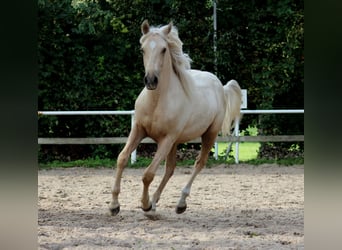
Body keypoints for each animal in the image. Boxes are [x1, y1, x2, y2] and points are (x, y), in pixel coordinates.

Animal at [109, 20, 240, 215]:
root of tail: (220, 86)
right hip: (177, 142)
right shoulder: (138, 130)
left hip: (209, 134)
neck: (156, 102)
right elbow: (122, 159)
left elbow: (148, 174)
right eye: (142, 49)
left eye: (164, 49)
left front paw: (145, 204)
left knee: (199, 163)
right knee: (170, 169)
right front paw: (114, 205)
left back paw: (180, 203)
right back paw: (155, 201)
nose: (151, 80)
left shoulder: (167, 139)